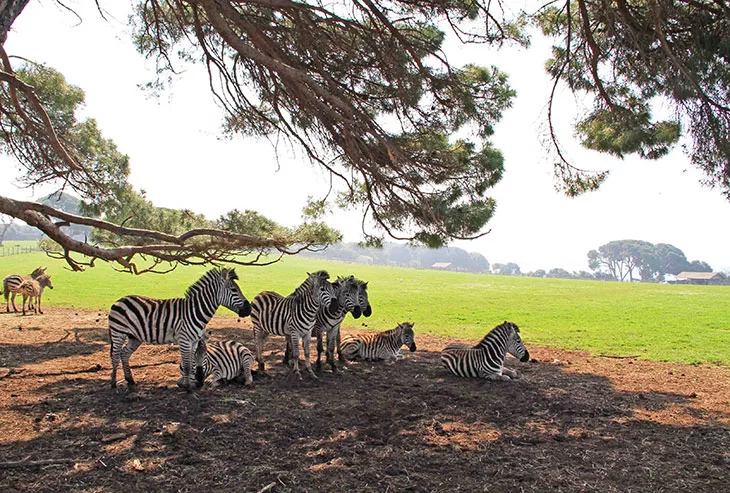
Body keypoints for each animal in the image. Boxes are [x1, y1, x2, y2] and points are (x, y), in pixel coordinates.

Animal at [106, 268, 252, 390]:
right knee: (115, 356)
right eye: (234, 290)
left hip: (134, 337)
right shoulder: (184, 340)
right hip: (118, 332)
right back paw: (113, 384)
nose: (249, 309)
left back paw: (130, 380)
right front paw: (188, 387)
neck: (195, 311)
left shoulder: (194, 341)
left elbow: (192, 363)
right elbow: (187, 365)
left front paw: (192, 383)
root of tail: (119, 300)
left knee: (124, 354)